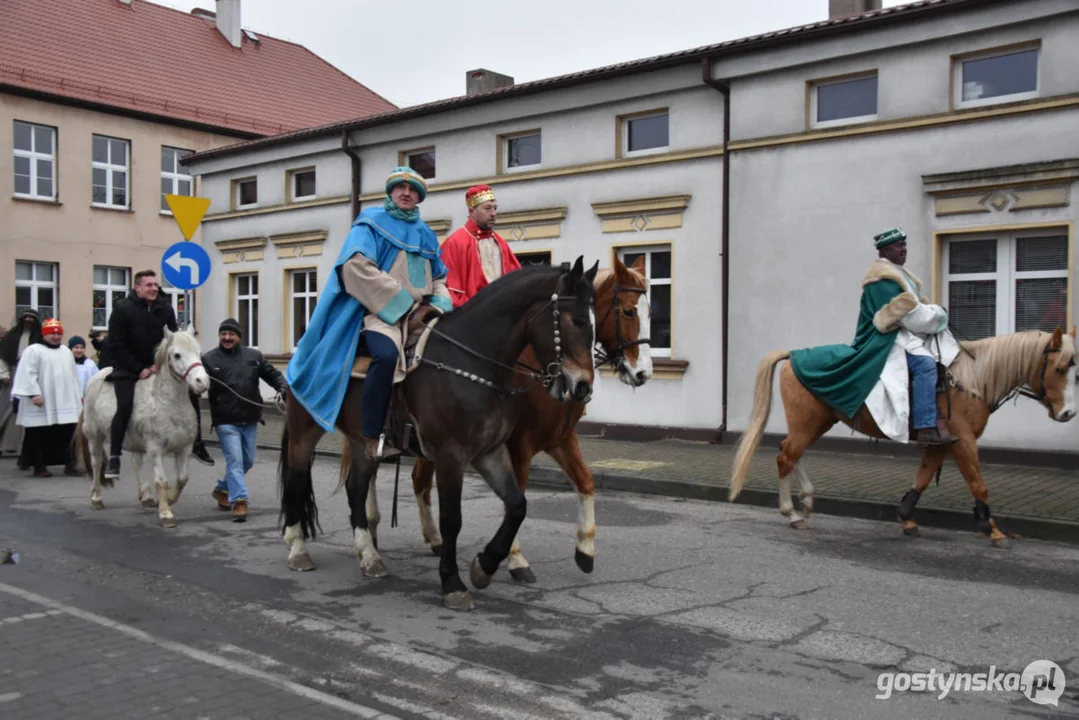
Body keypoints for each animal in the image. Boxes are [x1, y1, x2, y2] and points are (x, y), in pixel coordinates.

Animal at [74, 330, 209, 526]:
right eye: (177, 355)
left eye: (199, 353)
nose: (202, 382)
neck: (168, 402)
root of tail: (96, 377)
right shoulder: (155, 449)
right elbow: (161, 481)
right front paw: (166, 515)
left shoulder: (184, 448)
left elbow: (182, 478)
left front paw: (169, 500)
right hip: (95, 436)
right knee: (96, 463)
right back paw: (96, 498)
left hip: (134, 441)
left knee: (135, 463)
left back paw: (146, 497)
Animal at [278, 255, 599, 613]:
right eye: (577, 321)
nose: (582, 387)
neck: (473, 363)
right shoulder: (451, 457)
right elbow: (451, 520)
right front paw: (453, 582)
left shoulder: (490, 452)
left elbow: (517, 506)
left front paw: (485, 566)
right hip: (304, 432)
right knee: (295, 483)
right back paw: (298, 549)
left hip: (363, 444)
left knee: (356, 489)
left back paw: (369, 555)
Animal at [340, 255, 651, 582]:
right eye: (628, 310)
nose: (643, 372)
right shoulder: (518, 445)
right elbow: (517, 495)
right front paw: (514, 559)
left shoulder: (560, 439)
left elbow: (585, 482)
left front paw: (585, 549)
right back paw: (372, 535)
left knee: (413, 481)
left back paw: (424, 539)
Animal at [729, 325, 1074, 546]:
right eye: (1060, 368)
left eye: (1076, 370)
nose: (1068, 413)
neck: (971, 379)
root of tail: (793, 355)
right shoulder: (963, 440)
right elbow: (978, 483)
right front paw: (992, 530)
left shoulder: (942, 442)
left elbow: (922, 476)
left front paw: (907, 518)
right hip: (808, 422)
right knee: (787, 456)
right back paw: (791, 513)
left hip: (817, 422)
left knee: (790, 452)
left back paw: (806, 501)